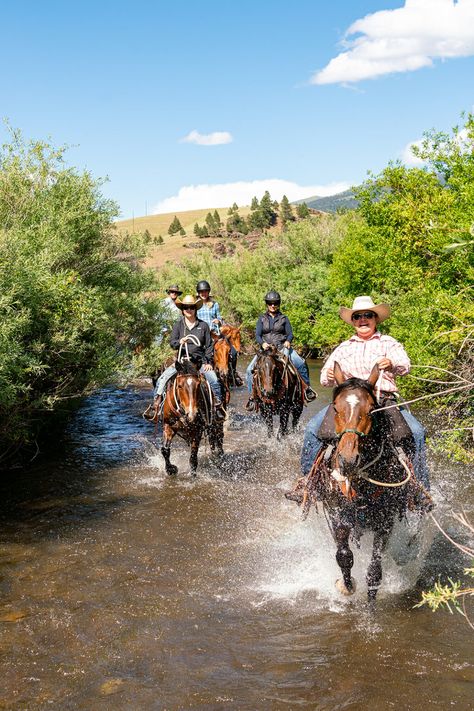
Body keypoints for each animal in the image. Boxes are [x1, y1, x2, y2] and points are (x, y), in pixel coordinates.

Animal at [286, 362, 430, 600]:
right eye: (336, 408)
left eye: (371, 409)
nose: (348, 459)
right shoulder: (337, 513)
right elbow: (344, 555)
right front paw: (346, 586)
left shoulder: (385, 520)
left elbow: (374, 572)